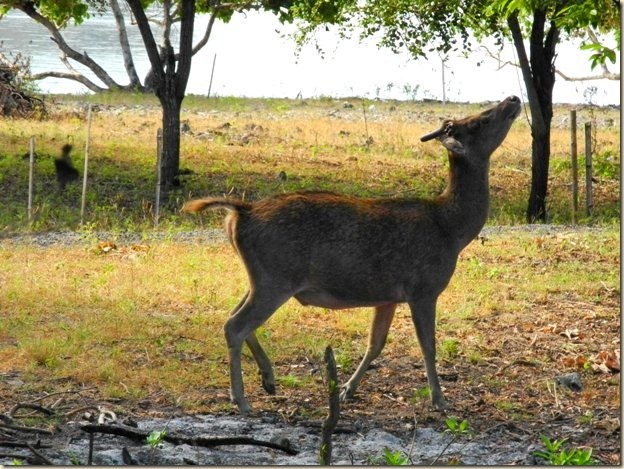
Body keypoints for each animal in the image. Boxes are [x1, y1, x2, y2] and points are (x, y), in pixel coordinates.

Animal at [184, 96, 520, 414]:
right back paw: (241, 400)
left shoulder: (387, 296)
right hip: (275, 278)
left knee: (234, 315)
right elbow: (428, 346)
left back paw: (269, 379)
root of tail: (241, 213)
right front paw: (439, 399)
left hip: (263, 276)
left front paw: (347, 389)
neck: (452, 230)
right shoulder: (423, 288)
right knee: (235, 324)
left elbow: (376, 344)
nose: (513, 99)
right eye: (478, 122)